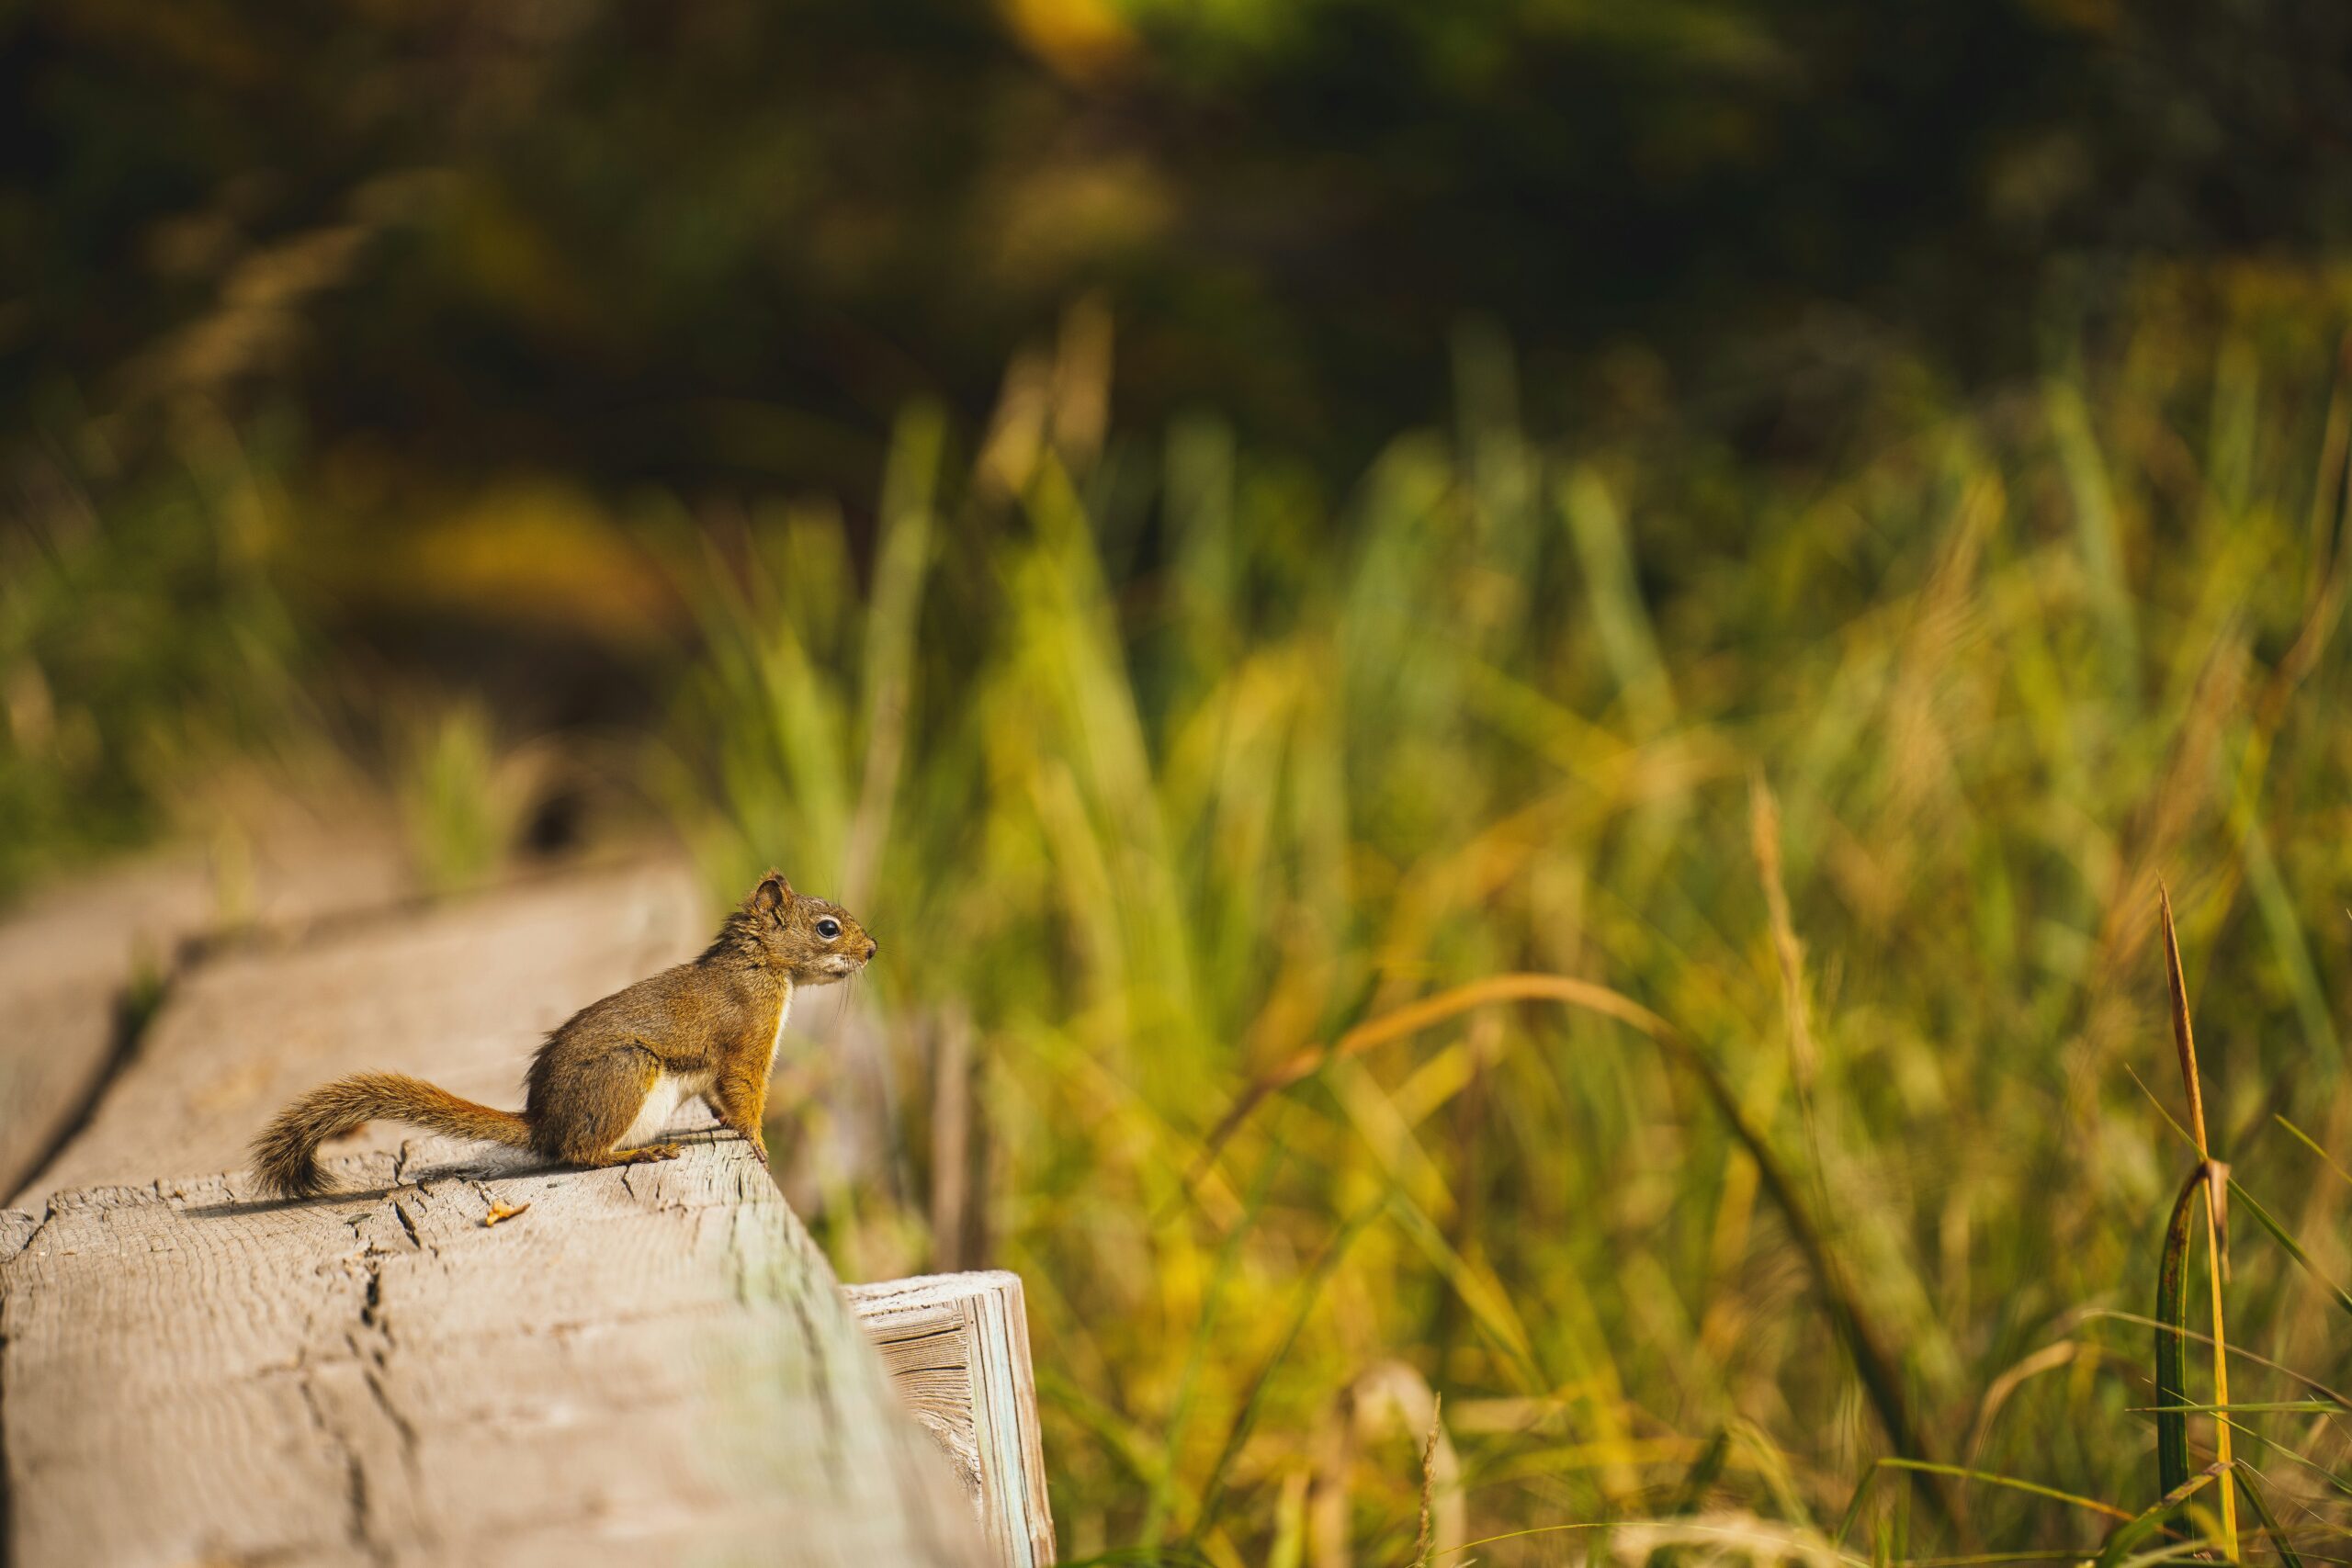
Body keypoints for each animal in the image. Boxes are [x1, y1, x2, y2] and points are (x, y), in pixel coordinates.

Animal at [250, 869, 875, 1203]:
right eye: (828, 929)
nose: (872, 950)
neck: (762, 967)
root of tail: (543, 1121)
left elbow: (721, 1099)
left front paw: (724, 1126)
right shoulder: (746, 1039)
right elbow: (745, 1094)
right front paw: (759, 1144)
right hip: (625, 1073)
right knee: (580, 1153)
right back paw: (643, 1150)